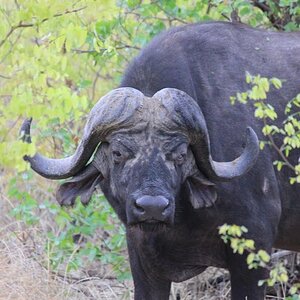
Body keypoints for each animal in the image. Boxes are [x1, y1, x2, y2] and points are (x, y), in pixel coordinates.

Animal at [21, 21, 300, 300]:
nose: (152, 207)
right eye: (118, 153)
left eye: (180, 154)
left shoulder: (255, 247)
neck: (183, 220)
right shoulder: (142, 258)